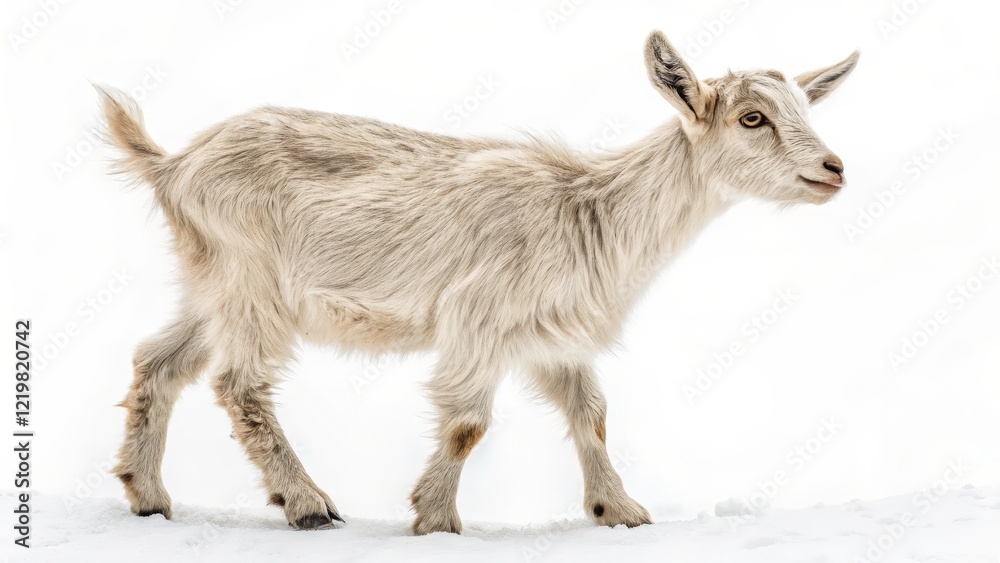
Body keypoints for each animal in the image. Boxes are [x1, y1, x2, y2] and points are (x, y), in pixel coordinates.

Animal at [99, 30, 858, 534]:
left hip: (212, 283)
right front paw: (435, 518)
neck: (589, 210)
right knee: (240, 384)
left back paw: (148, 493)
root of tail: (174, 165)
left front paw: (619, 510)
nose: (834, 168)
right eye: (752, 118)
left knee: (158, 361)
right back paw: (308, 502)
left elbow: (591, 412)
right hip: (254, 282)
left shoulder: (555, 332)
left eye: (807, 110)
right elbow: (468, 423)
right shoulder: (478, 320)